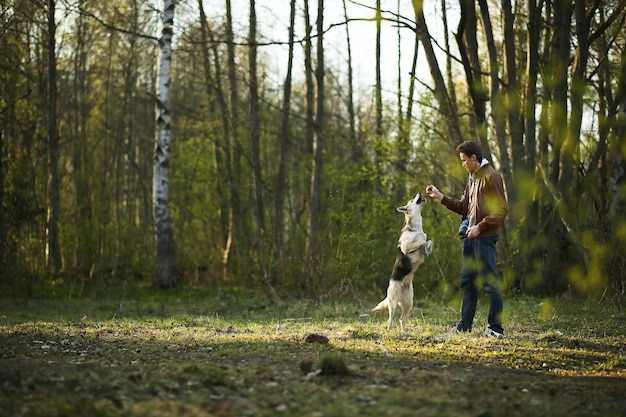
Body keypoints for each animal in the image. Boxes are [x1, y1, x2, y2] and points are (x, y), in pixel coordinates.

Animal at [370, 192, 428, 332]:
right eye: (412, 200)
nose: (420, 193)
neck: (416, 228)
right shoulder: (406, 246)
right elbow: (420, 241)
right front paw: (425, 245)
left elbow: (424, 241)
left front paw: (427, 248)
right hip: (393, 303)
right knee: (390, 319)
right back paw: (389, 330)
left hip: (409, 303)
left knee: (402, 319)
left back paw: (403, 332)